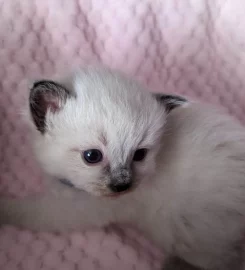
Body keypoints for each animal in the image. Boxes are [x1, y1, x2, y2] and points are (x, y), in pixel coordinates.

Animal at [0, 67, 245, 270]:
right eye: (92, 156)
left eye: (139, 155)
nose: (122, 185)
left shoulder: (76, 210)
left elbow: (28, 211)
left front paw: (5, 208)